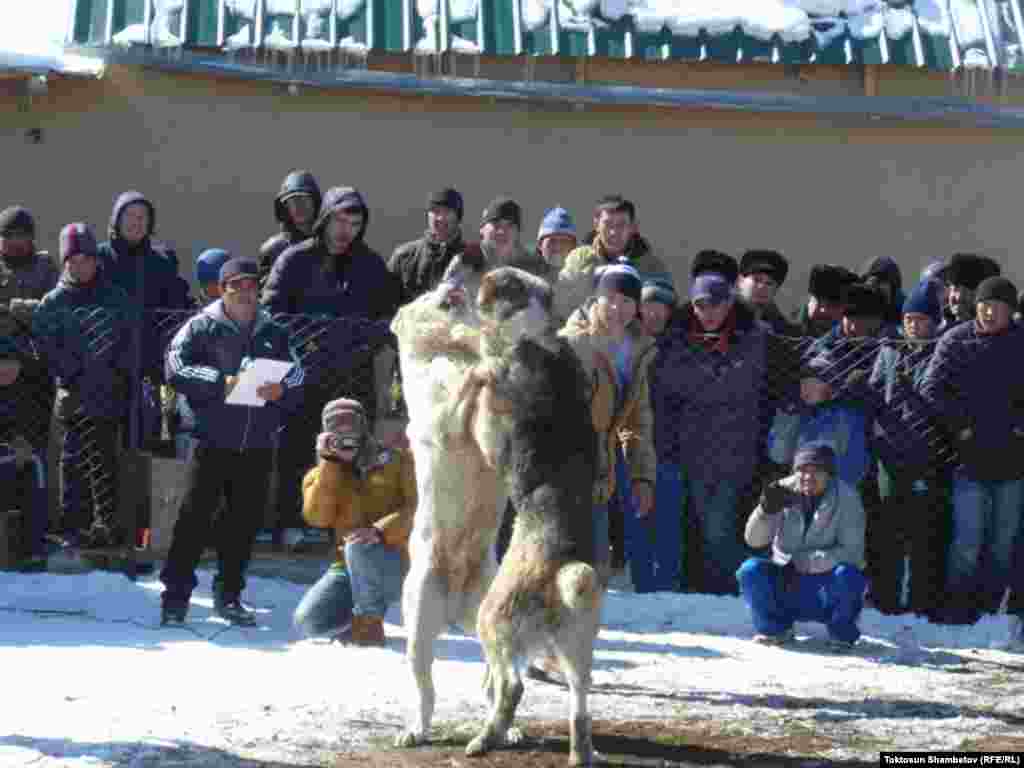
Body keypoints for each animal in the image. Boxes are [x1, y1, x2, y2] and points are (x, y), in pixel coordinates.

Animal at [389, 268, 602, 765]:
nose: (455, 276)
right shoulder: (443, 415)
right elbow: (462, 387)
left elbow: (475, 366)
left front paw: (481, 357)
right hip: (429, 626)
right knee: (433, 687)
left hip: (494, 622)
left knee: (508, 683)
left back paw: (497, 735)